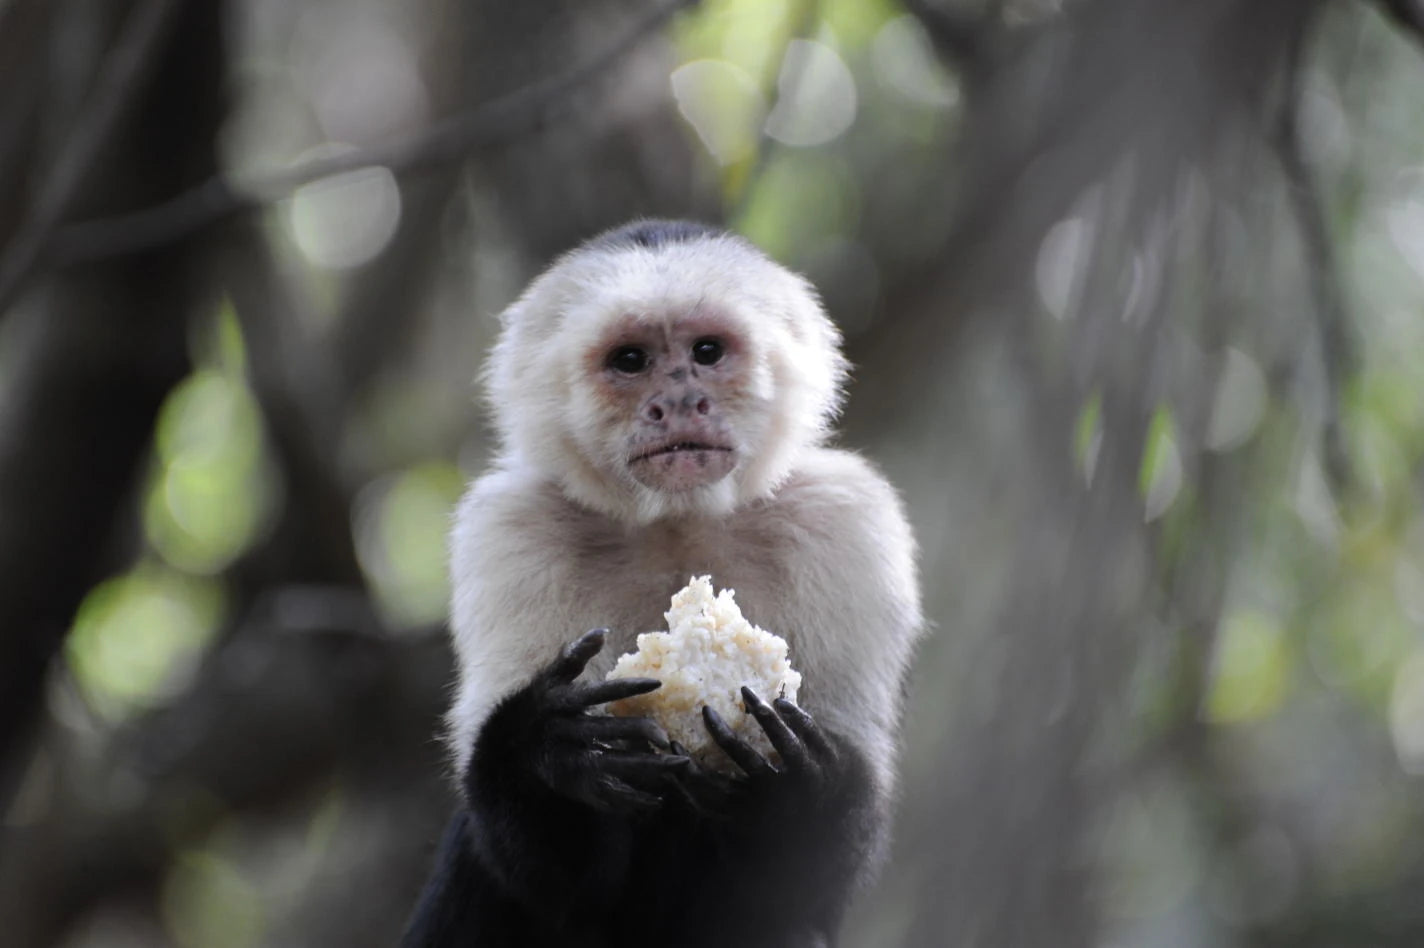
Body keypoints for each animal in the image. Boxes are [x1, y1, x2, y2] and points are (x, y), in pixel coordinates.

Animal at [401, 220, 923, 948]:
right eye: (630, 360)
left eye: (707, 352)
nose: (678, 400)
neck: (679, 521)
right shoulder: (509, 531)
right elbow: (547, 875)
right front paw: (547, 750)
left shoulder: (846, 521)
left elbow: (814, 875)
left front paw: (796, 787)